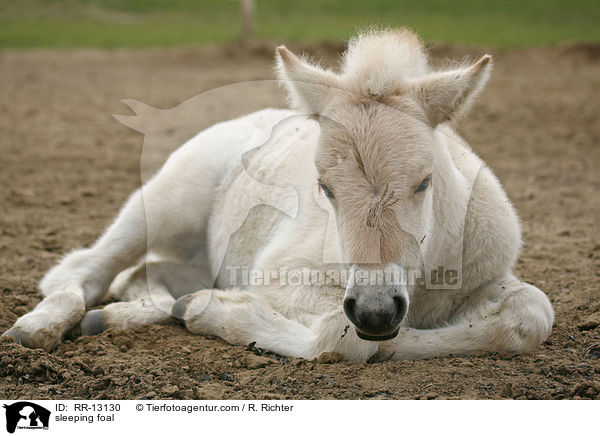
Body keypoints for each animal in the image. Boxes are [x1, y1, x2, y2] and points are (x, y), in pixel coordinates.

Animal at [3, 29, 552, 362]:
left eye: (424, 181)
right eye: (325, 188)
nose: (376, 310)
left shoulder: (488, 275)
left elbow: (531, 315)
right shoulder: (283, 276)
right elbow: (342, 339)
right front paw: (214, 314)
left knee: (142, 277)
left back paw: (119, 316)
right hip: (163, 203)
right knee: (84, 269)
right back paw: (39, 327)